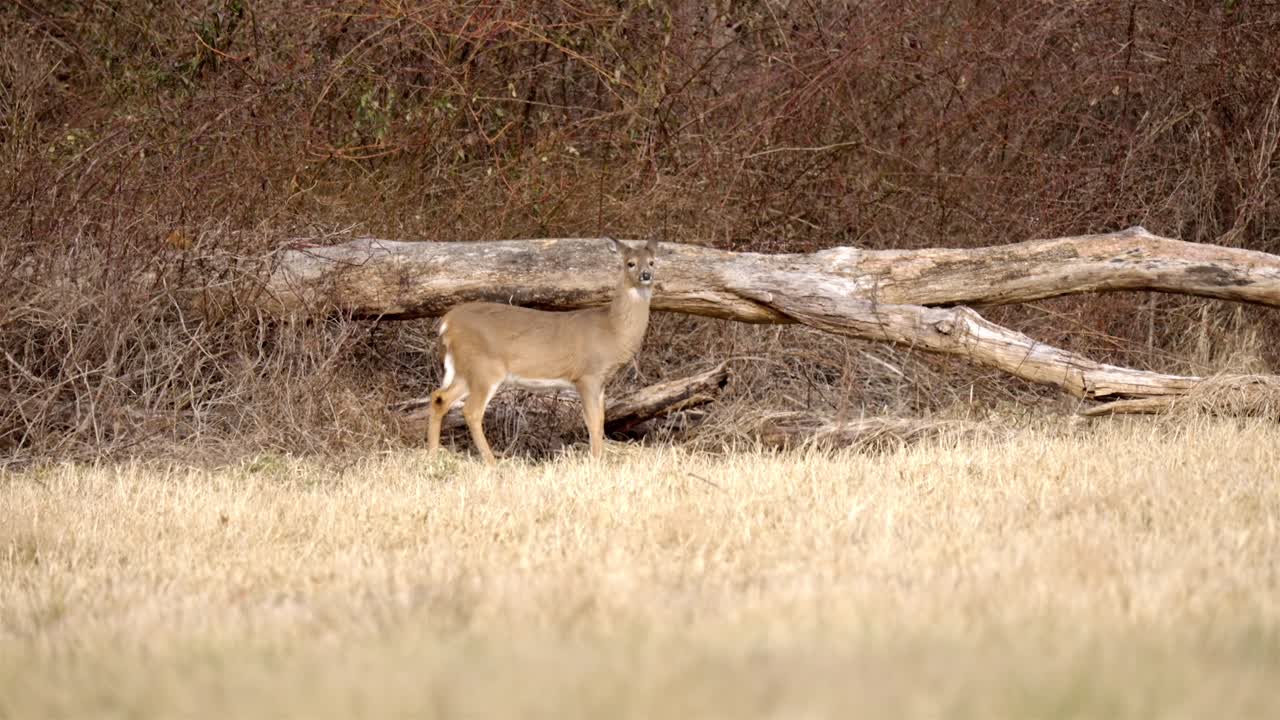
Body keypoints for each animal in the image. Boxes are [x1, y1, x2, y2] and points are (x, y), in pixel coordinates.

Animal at [425, 237, 659, 464]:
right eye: (630, 263)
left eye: (652, 262)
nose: (646, 275)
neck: (612, 329)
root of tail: (447, 322)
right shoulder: (587, 376)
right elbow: (593, 422)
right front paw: (595, 463)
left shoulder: (601, 382)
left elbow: (601, 420)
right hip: (484, 367)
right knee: (471, 410)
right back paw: (491, 462)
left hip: (465, 370)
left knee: (439, 398)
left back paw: (434, 456)